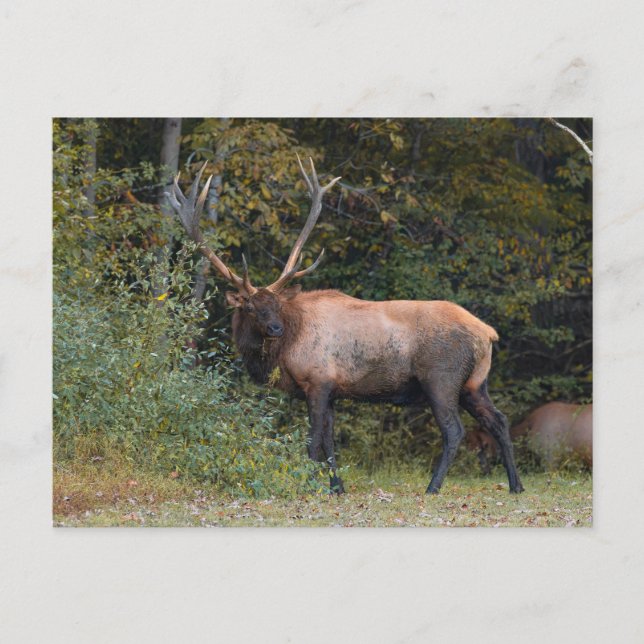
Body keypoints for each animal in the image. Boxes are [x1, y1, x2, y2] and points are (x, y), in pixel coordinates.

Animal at [166, 156, 524, 495]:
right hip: (475, 383)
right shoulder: (333, 390)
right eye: (252, 307)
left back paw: (433, 487)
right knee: (500, 420)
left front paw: (306, 486)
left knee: (454, 430)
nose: (276, 329)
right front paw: (336, 488)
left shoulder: (317, 381)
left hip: (441, 378)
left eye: (277, 305)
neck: (285, 350)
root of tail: (487, 333)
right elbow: (329, 441)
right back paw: (515, 485)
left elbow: (313, 442)